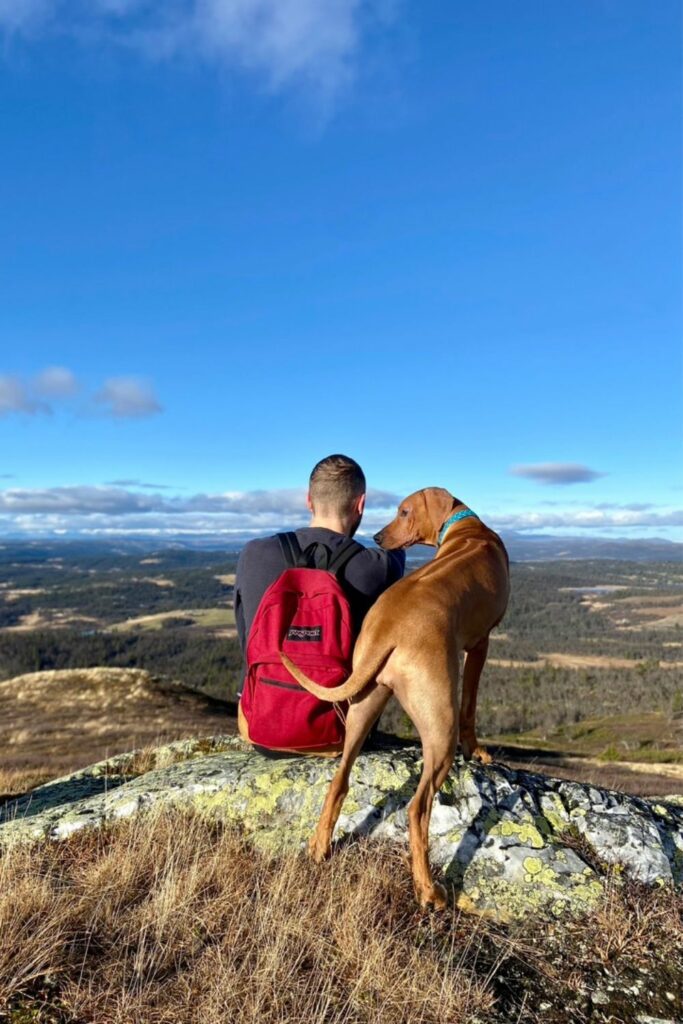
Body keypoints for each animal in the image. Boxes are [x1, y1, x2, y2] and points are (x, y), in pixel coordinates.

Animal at [280, 487, 509, 913]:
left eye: (404, 511)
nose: (376, 538)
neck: (466, 527)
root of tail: (391, 626)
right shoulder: (480, 643)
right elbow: (471, 704)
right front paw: (478, 752)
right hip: (440, 722)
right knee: (418, 809)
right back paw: (428, 890)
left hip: (364, 705)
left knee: (339, 782)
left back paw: (319, 846)